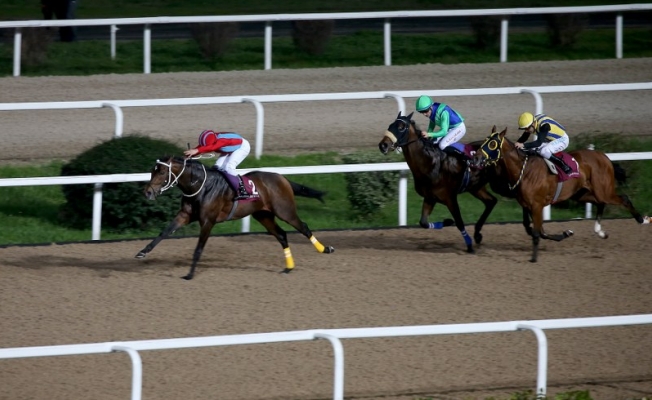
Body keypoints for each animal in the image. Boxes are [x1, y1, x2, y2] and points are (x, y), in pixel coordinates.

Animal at [136, 155, 334, 280]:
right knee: (281, 235)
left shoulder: (208, 221)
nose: (147, 192)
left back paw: (325, 249)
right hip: (263, 215)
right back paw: (289, 267)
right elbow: (164, 232)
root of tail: (282, 178)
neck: (200, 186)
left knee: (304, 227)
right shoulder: (185, 215)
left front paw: (190, 274)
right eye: (152, 171)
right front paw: (143, 252)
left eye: (162, 172)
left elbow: (198, 249)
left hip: (285, 211)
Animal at [376, 111, 500, 252]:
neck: (431, 164)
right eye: (390, 125)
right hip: (475, 187)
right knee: (491, 201)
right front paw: (448, 222)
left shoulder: (450, 198)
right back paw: (477, 234)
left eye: (401, 127)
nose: (383, 145)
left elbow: (459, 222)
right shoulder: (430, 198)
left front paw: (469, 246)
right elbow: (423, 222)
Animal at [472, 125, 648, 262]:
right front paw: (566, 233)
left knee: (623, 198)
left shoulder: (536, 206)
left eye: (493, 143)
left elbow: (536, 232)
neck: (524, 170)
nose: (476, 159)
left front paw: (534, 258)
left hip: (603, 190)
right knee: (601, 203)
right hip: (581, 194)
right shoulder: (527, 205)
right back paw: (601, 232)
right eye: (485, 140)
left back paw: (642, 219)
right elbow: (537, 231)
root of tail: (604, 157)